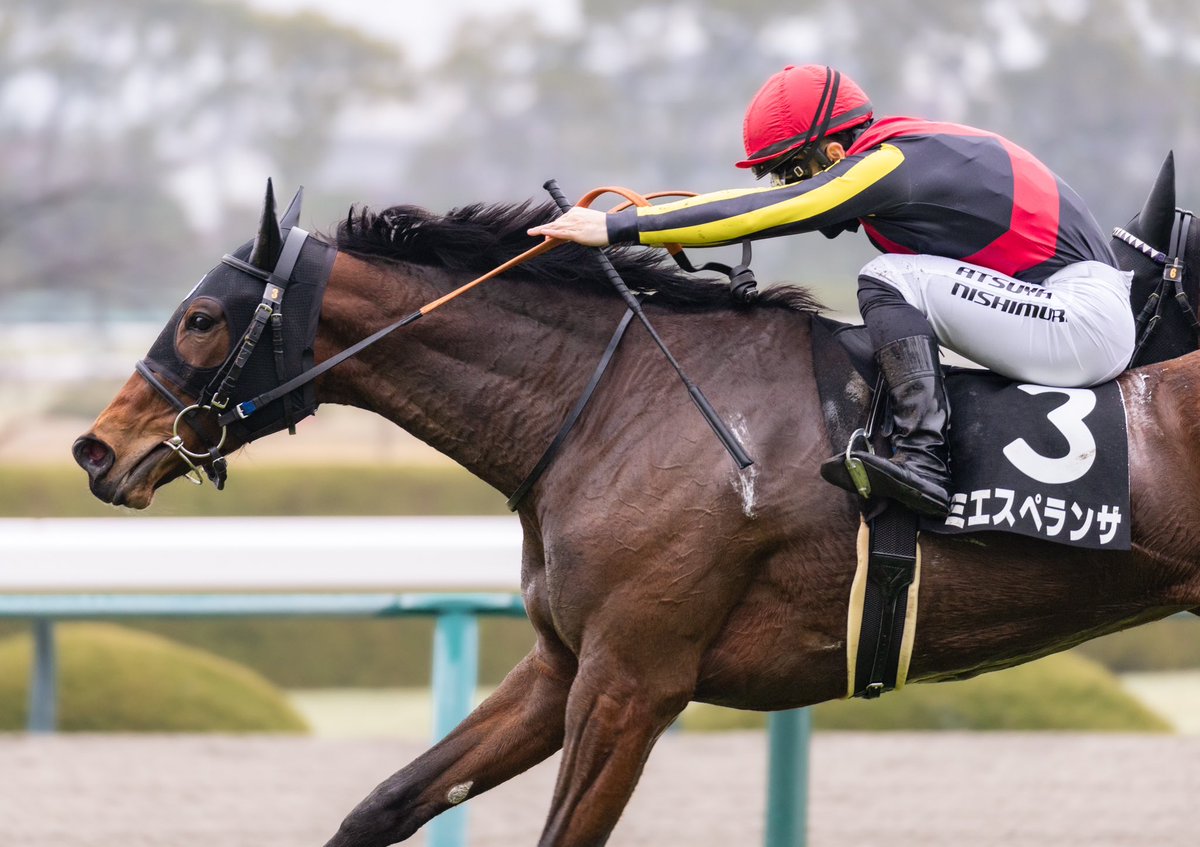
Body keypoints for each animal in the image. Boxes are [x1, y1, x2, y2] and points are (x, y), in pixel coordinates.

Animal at [72, 165, 1200, 844]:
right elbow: (385, 803)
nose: (96, 448)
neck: (618, 400)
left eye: (202, 317)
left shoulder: (632, 684)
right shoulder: (563, 663)